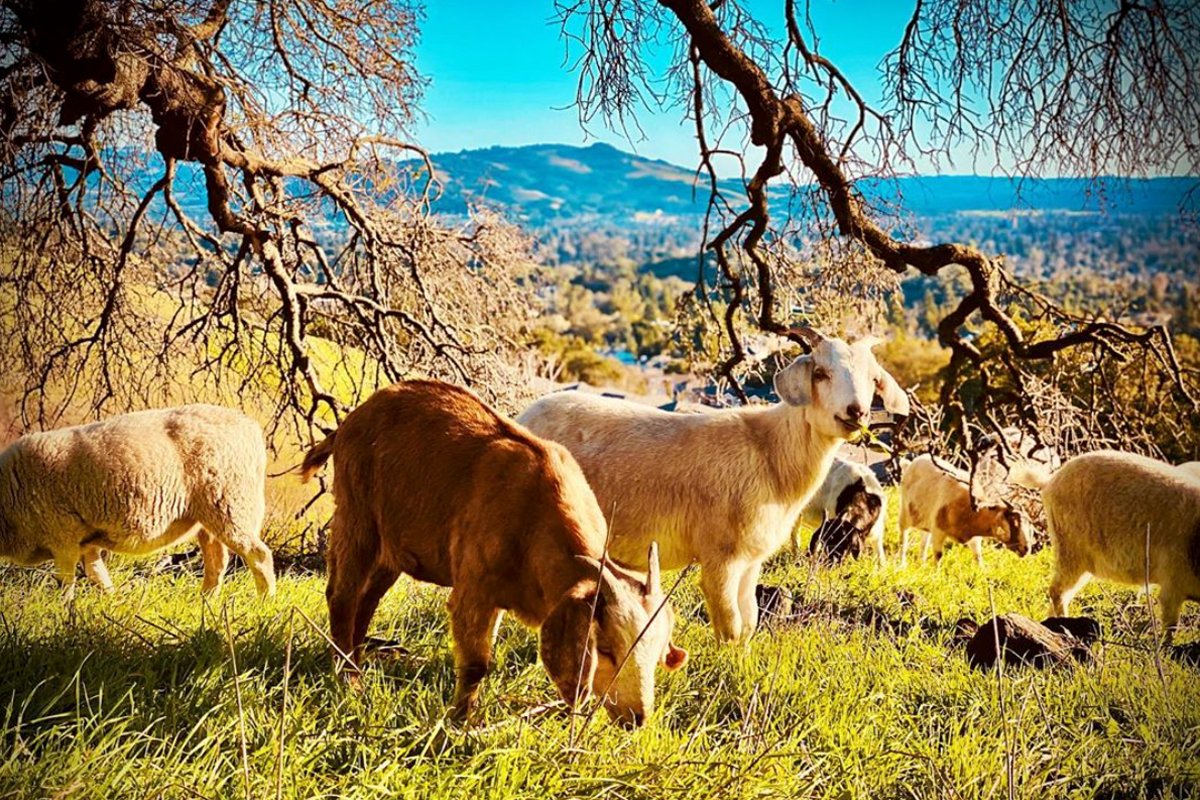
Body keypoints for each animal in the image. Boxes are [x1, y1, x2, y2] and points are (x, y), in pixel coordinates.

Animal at [0, 402, 274, 597]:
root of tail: (249, 426)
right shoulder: (84, 541)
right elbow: (97, 573)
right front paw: (112, 602)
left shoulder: (62, 537)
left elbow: (67, 584)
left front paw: (66, 614)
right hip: (208, 516)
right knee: (217, 560)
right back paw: (206, 602)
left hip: (230, 503)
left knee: (258, 554)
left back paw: (264, 601)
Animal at [298, 381, 686, 724]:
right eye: (605, 648)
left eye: (656, 653)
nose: (637, 717)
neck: (534, 517)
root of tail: (352, 420)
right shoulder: (474, 591)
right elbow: (476, 666)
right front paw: (459, 724)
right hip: (357, 517)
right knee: (342, 595)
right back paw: (348, 679)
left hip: (392, 546)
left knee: (367, 600)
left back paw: (357, 662)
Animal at [518, 326, 907, 642]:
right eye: (821, 373)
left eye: (873, 379)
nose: (857, 412)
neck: (770, 451)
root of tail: (525, 415)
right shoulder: (721, 556)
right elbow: (730, 626)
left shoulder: (752, 559)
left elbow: (749, 622)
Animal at [902, 455, 1032, 568]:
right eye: (1014, 523)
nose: (1026, 548)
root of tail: (911, 464)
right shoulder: (938, 531)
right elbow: (938, 556)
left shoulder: (974, 538)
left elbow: (978, 558)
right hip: (904, 515)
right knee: (903, 540)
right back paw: (901, 566)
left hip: (925, 524)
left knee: (923, 544)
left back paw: (922, 566)